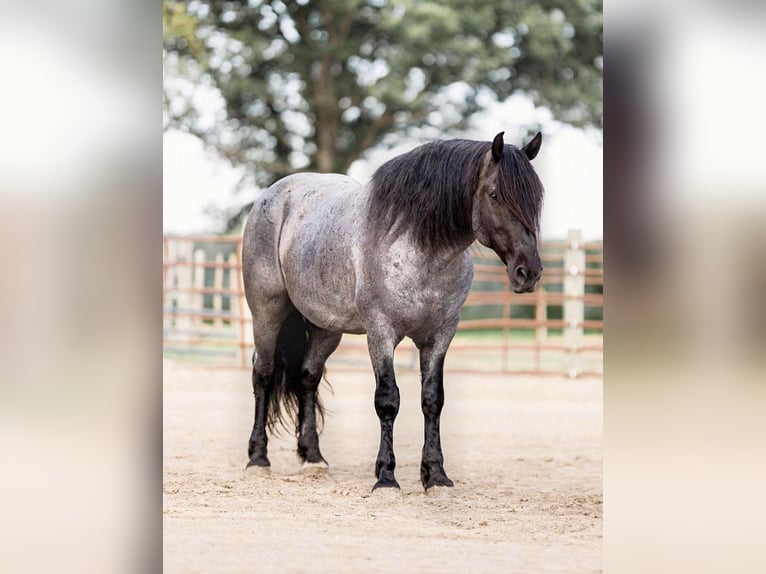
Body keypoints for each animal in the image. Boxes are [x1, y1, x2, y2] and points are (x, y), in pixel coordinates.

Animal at [240, 132, 544, 496]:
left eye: (536, 200)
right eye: (495, 194)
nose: (529, 272)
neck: (418, 248)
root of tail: (272, 194)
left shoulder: (440, 335)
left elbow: (432, 400)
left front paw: (436, 476)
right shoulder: (381, 333)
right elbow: (388, 400)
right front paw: (386, 477)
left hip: (326, 327)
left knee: (308, 377)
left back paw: (313, 458)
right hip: (267, 312)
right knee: (263, 374)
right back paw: (258, 459)